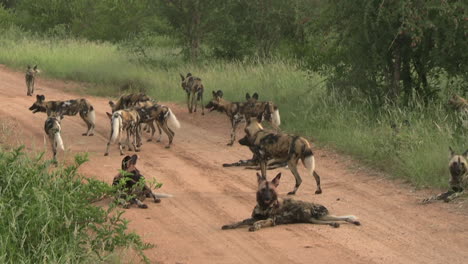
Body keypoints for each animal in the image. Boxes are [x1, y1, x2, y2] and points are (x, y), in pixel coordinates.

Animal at [221, 171, 360, 231]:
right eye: (263, 190)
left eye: (271, 190)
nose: (267, 199)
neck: (264, 207)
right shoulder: (253, 217)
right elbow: (241, 221)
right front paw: (229, 225)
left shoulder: (270, 220)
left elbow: (259, 222)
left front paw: (256, 226)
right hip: (314, 220)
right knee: (334, 220)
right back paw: (337, 223)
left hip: (317, 215)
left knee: (343, 217)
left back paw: (353, 221)